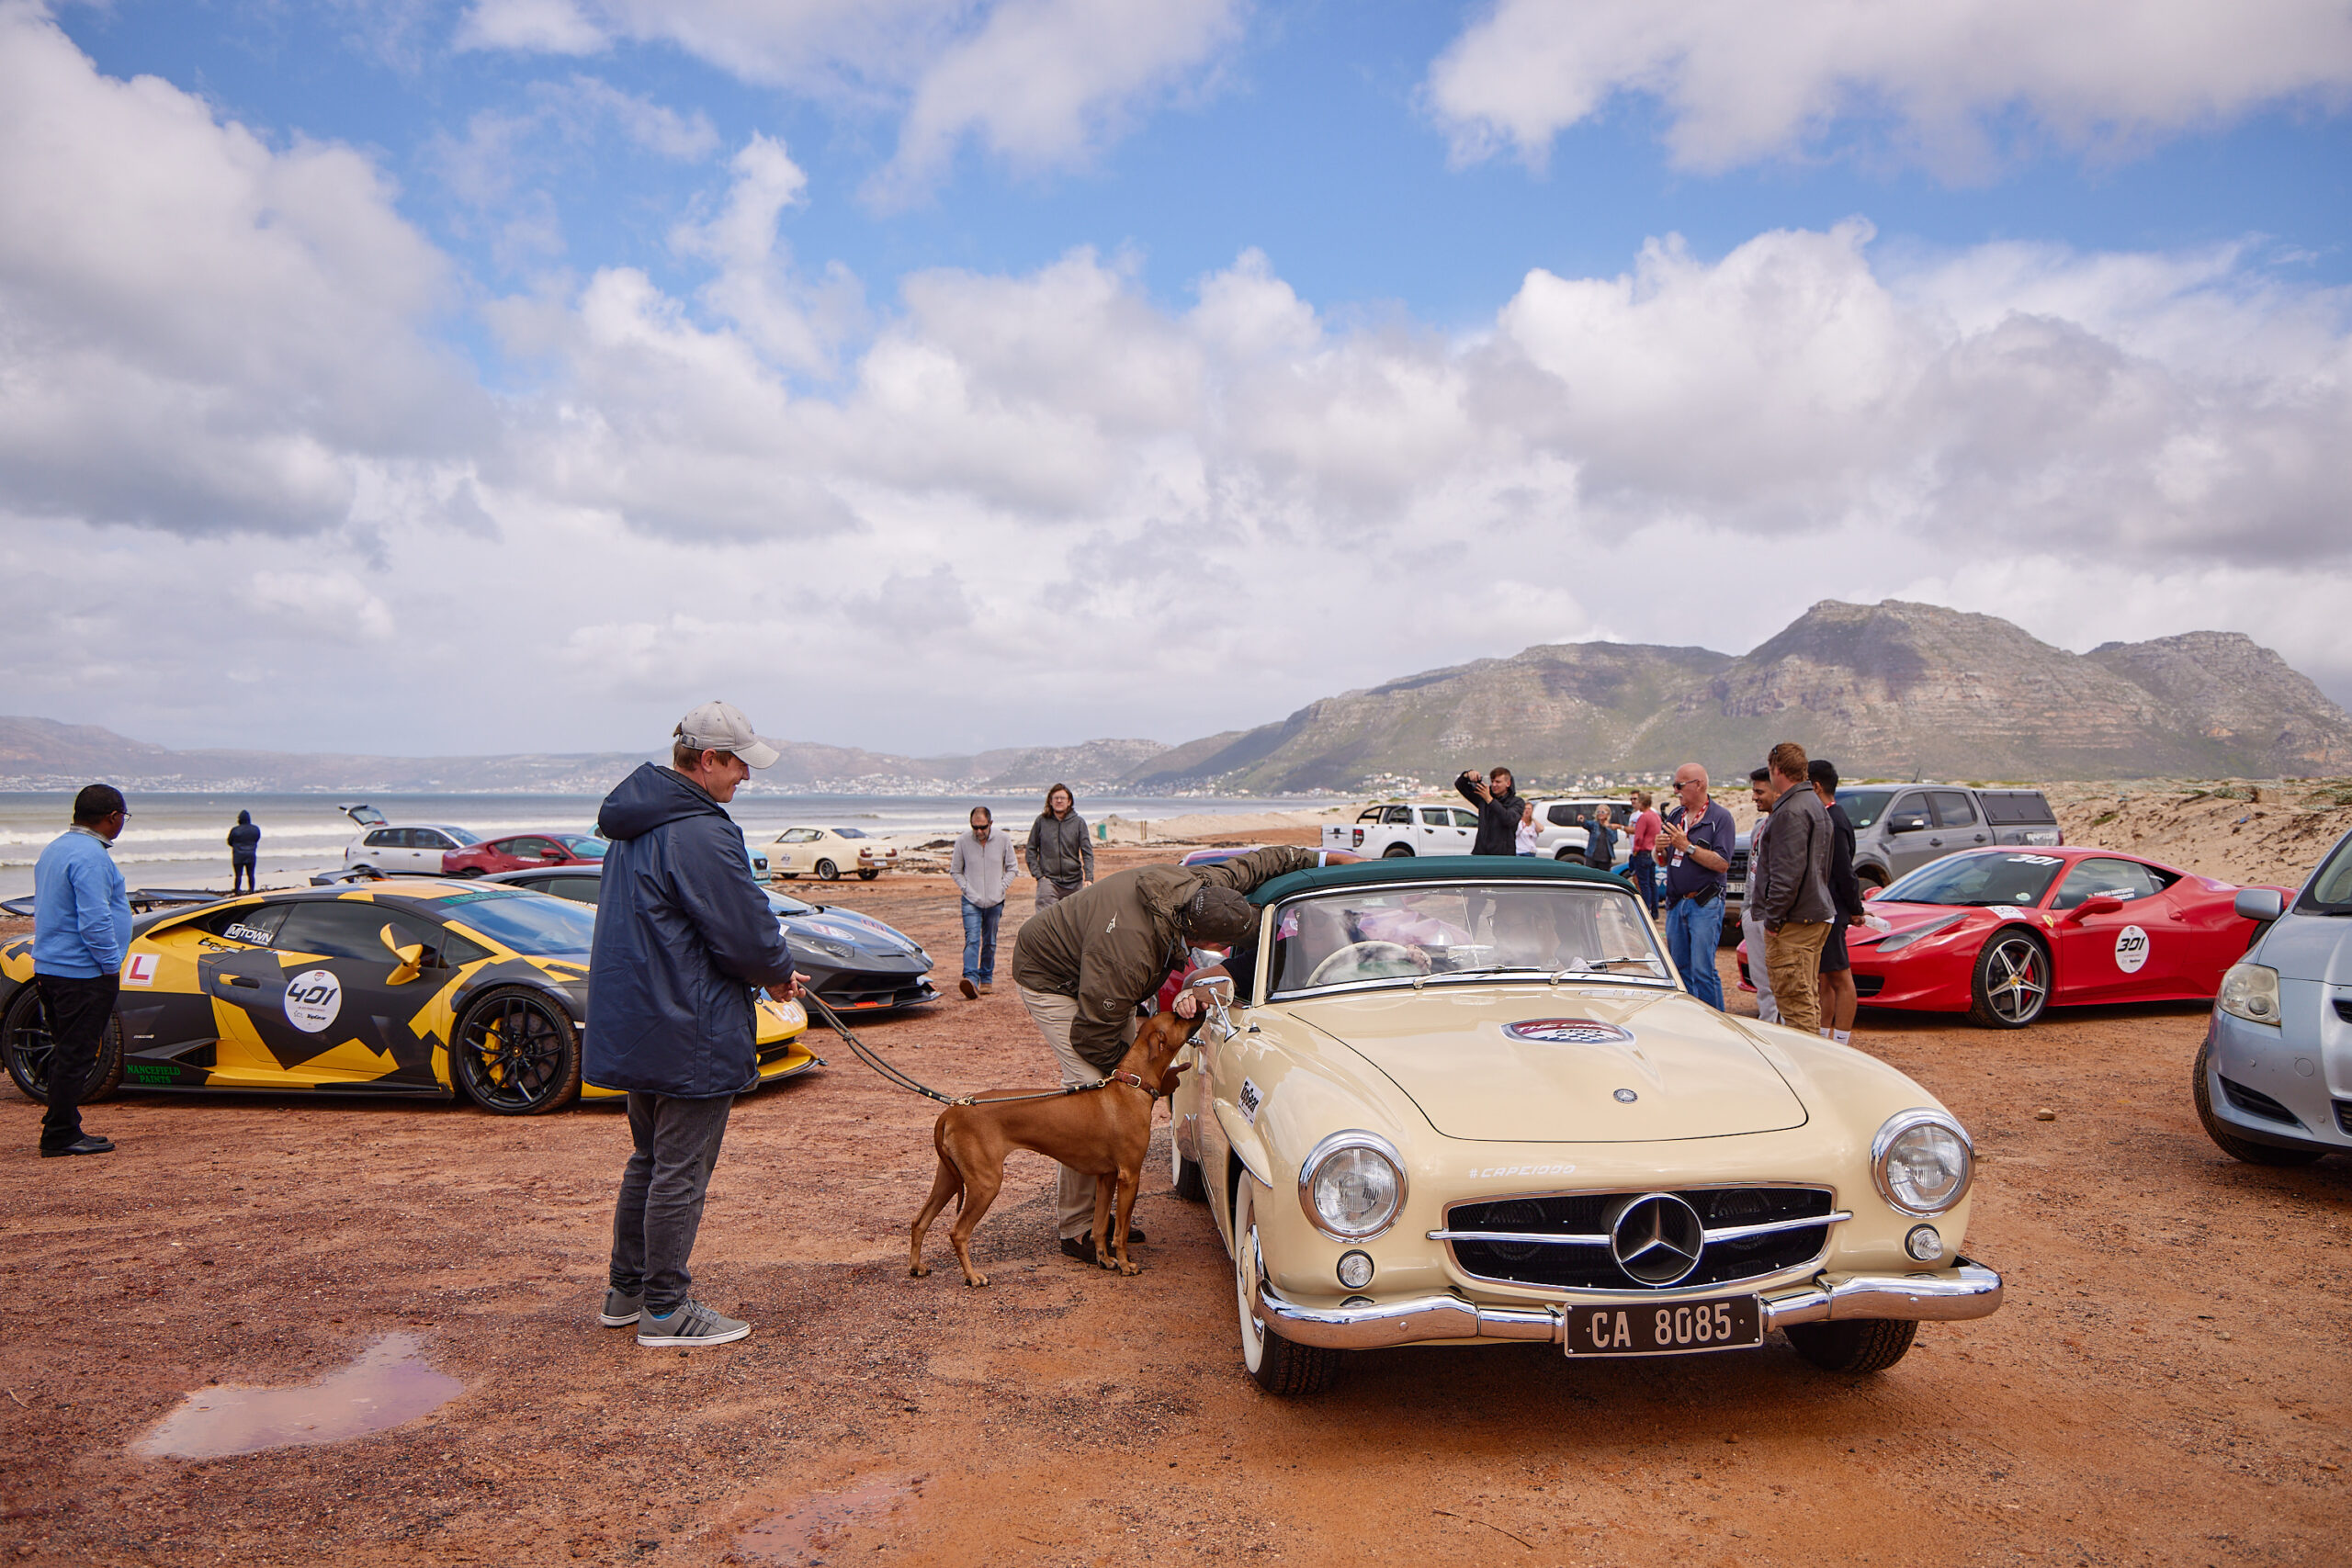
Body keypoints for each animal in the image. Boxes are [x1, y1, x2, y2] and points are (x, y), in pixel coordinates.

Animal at [909, 1006, 1201, 1287]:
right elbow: (1121, 1231)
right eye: (1178, 1017)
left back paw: (916, 1266)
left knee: (919, 1220)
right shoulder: (1129, 1175)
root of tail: (950, 1111)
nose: (1199, 1009)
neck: (1131, 1085)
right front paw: (1126, 1265)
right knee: (958, 1232)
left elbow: (1099, 1226)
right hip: (985, 1182)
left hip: (949, 1177)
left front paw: (1105, 1260)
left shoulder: (1106, 1176)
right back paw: (972, 1277)